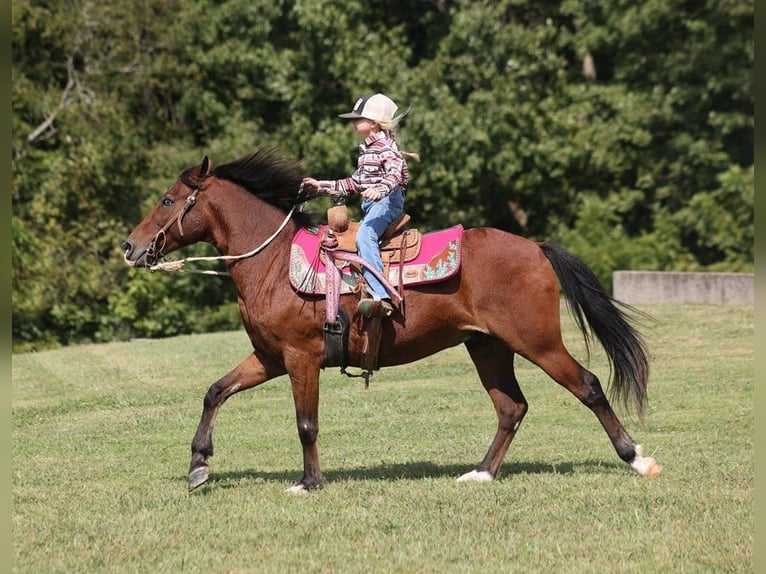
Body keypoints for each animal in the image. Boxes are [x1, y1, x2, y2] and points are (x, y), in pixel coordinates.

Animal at [123, 146, 664, 492]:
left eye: (168, 201)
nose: (130, 246)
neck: (273, 263)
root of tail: (535, 247)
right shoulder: (269, 358)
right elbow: (215, 391)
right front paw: (198, 465)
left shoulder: (300, 358)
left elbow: (306, 423)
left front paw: (309, 483)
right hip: (487, 346)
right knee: (511, 408)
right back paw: (482, 473)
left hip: (539, 342)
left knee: (588, 385)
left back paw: (638, 459)